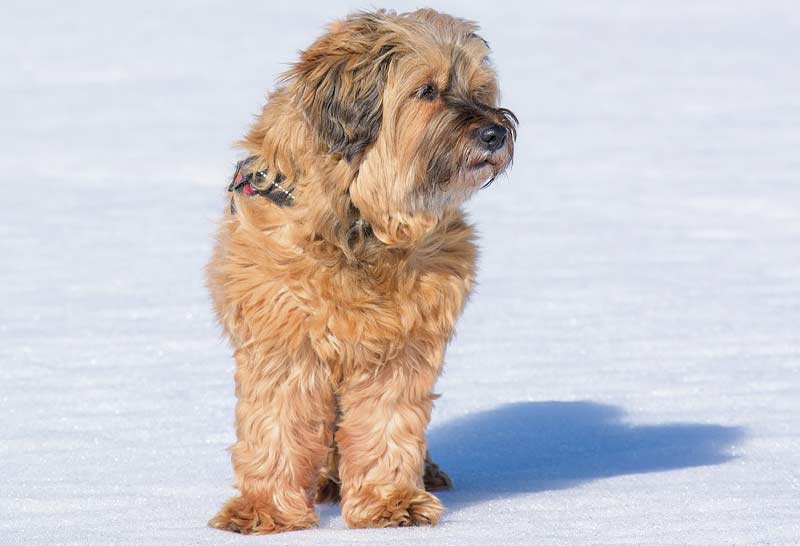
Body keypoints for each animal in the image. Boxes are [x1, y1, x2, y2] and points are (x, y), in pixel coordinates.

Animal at [208, 8, 520, 532]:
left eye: (480, 90)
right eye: (427, 90)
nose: (495, 132)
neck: (360, 223)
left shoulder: (402, 343)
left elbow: (386, 422)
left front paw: (390, 501)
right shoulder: (283, 334)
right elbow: (277, 422)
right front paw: (265, 510)